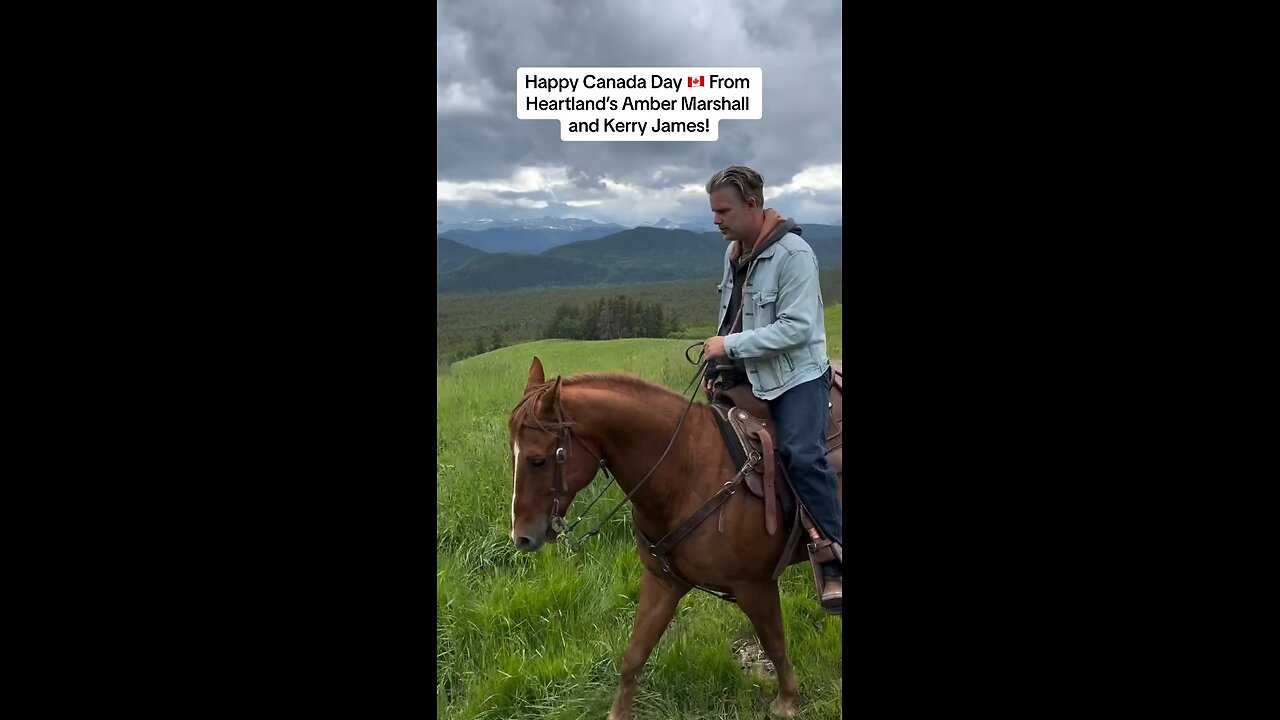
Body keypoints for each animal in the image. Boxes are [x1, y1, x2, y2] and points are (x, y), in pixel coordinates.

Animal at [504, 353, 844, 717]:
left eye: (537, 461)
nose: (522, 538)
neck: (686, 470)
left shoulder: (755, 585)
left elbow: (774, 643)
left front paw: (787, 700)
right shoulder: (663, 581)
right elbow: (634, 655)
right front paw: (617, 712)